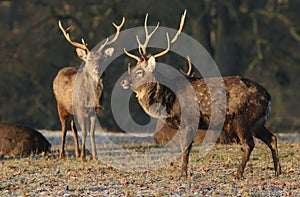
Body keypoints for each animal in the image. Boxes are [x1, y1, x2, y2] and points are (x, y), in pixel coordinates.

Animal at [52, 17, 124, 161]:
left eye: (102, 58)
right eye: (89, 59)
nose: (98, 68)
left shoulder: (94, 111)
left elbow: (91, 132)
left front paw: (94, 156)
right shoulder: (80, 108)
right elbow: (84, 132)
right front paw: (84, 157)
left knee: (73, 127)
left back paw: (77, 152)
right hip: (61, 105)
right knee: (64, 127)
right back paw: (63, 154)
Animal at [121, 11, 282, 179]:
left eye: (140, 71)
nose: (123, 82)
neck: (169, 101)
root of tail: (268, 98)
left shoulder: (189, 120)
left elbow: (186, 149)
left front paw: (183, 175)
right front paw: (183, 173)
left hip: (241, 118)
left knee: (249, 143)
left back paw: (238, 174)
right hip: (257, 122)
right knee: (272, 138)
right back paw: (277, 172)